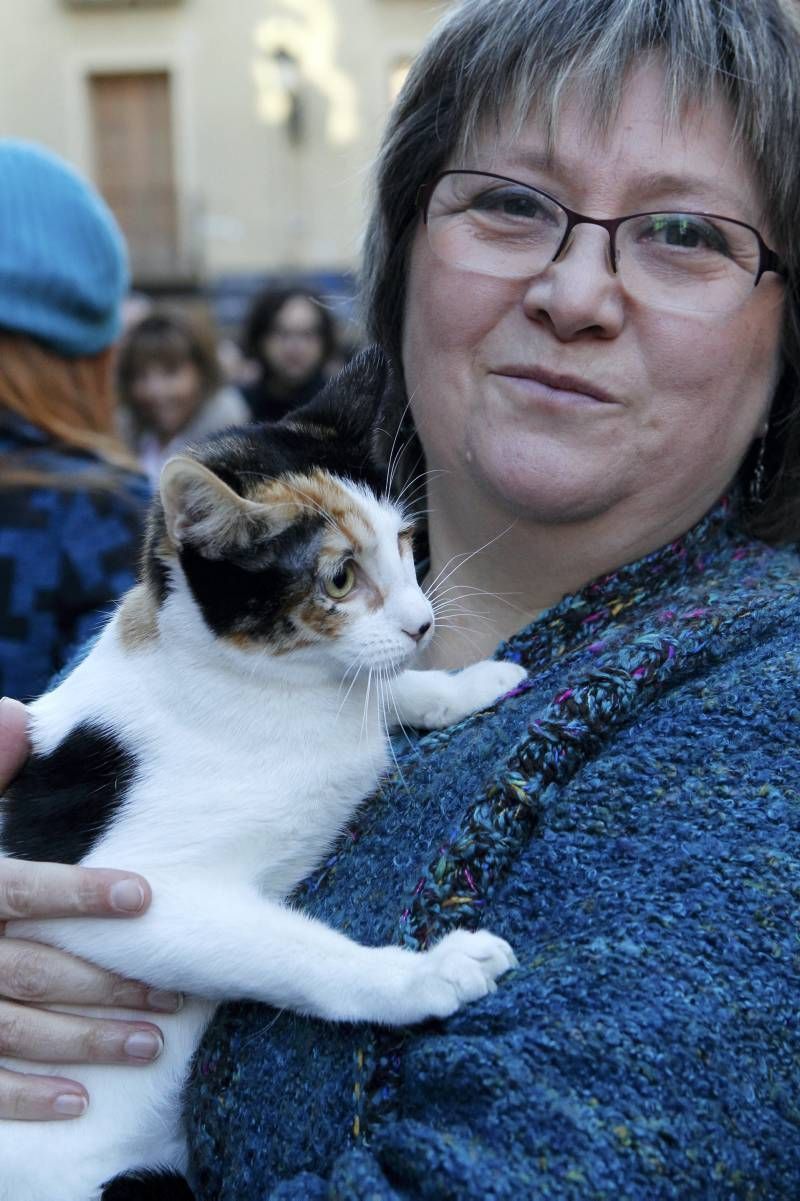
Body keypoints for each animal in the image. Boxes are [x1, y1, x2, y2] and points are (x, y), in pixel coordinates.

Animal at [0, 350, 523, 1201]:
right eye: (339, 578)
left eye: (407, 543)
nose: (424, 623)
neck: (268, 689)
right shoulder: (121, 892)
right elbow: (298, 956)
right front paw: (421, 975)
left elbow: (382, 692)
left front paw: (464, 682)